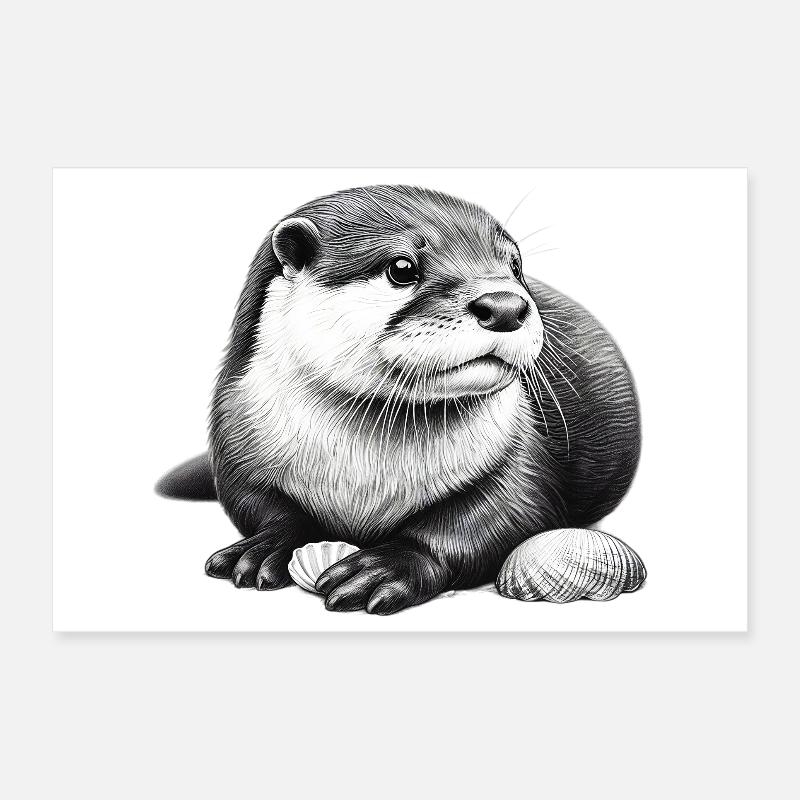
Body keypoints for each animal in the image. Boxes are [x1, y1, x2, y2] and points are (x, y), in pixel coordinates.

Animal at [157, 185, 640, 615]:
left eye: (515, 265)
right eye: (402, 267)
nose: (505, 304)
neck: (362, 477)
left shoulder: (522, 452)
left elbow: (502, 515)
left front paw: (387, 567)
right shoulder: (236, 436)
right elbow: (256, 503)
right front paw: (263, 548)